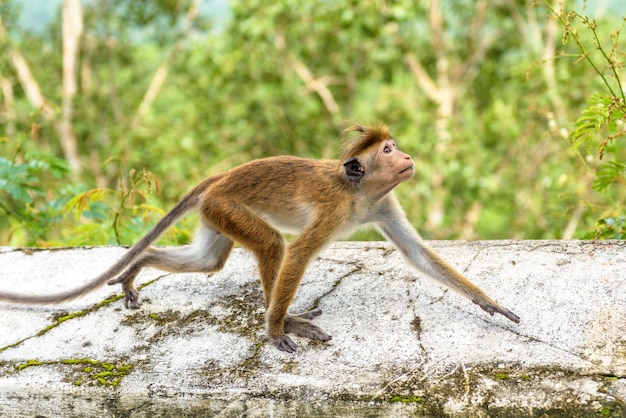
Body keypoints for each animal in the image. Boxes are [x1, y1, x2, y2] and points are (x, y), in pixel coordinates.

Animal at [0, 124, 516, 352]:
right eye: (388, 150)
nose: (406, 156)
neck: (360, 192)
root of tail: (220, 178)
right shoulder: (336, 209)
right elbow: (301, 250)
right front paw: (272, 330)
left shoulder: (383, 204)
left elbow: (417, 254)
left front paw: (489, 304)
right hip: (228, 208)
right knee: (273, 246)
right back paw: (283, 320)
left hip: (214, 216)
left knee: (208, 261)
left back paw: (138, 269)